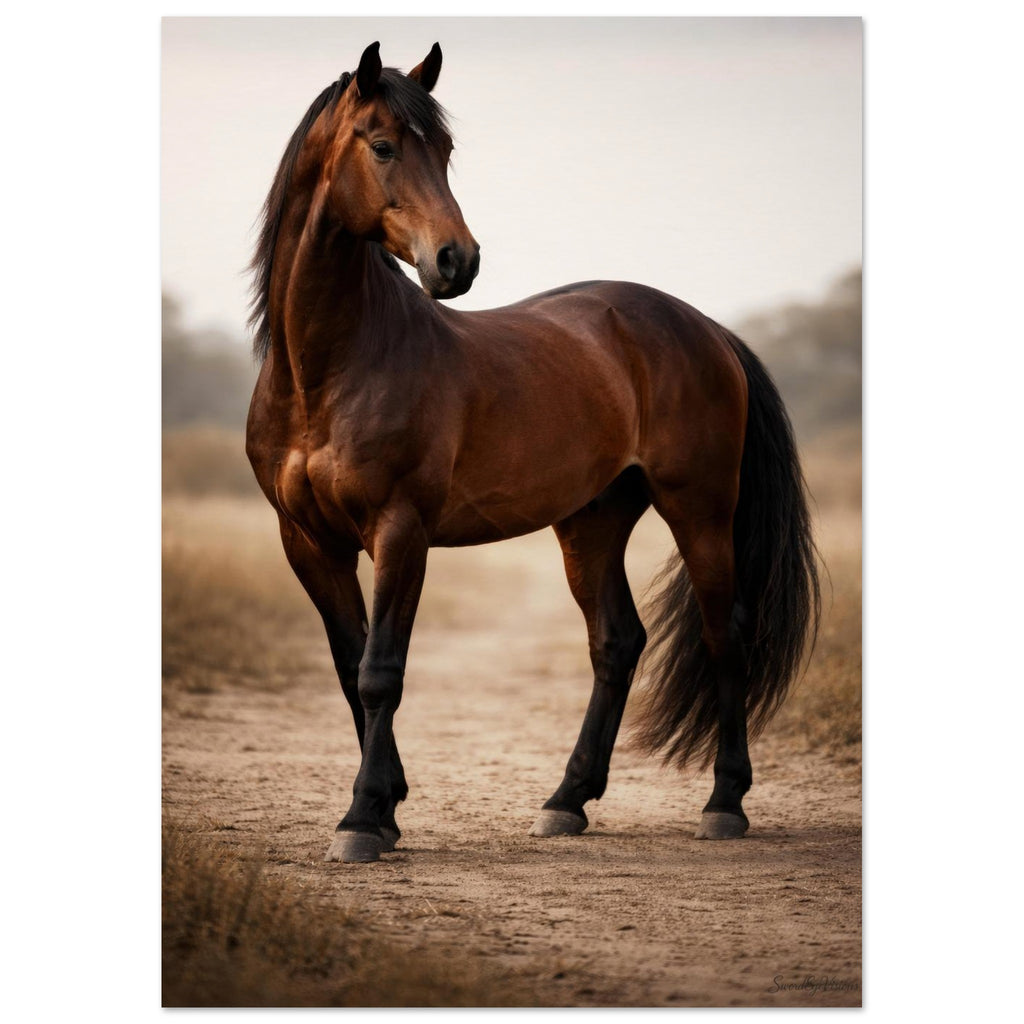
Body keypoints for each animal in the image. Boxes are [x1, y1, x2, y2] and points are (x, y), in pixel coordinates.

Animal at [245, 42, 820, 863]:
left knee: (725, 635)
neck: (328, 370)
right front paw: (384, 809)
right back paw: (566, 800)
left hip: (700, 511)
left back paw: (724, 803)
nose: (457, 261)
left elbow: (382, 671)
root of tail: (705, 326)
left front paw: (360, 819)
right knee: (617, 642)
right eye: (382, 146)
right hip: (592, 521)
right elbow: (350, 667)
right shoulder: (308, 543)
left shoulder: (400, 531)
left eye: (446, 150)